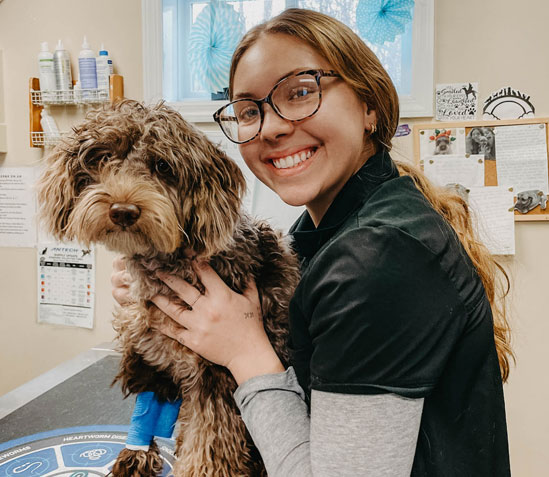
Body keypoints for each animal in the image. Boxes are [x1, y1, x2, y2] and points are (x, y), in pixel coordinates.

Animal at [36, 99, 300, 476]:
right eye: (102, 157)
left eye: (162, 166)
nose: (123, 211)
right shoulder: (150, 355)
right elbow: (146, 413)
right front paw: (136, 453)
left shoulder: (214, 373)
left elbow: (209, 444)